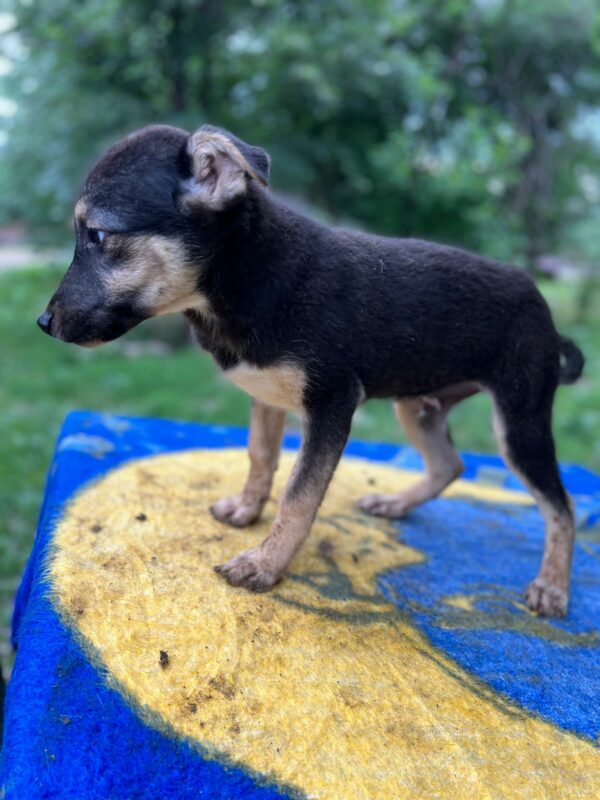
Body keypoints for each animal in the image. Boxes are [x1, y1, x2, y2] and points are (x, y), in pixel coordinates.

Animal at [37, 123, 580, 620]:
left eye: (99, 236)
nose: (44, 324)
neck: (248, 273)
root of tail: (548, 318)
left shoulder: (332, 402)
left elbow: (299, 496)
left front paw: (264, 564)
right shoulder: (267, 396)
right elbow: (260, 456)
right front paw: (246, 509)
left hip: (520, 418)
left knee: (561, 506)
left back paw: (552, 587)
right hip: (417, 406)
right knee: (451, 464)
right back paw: (396, 505)